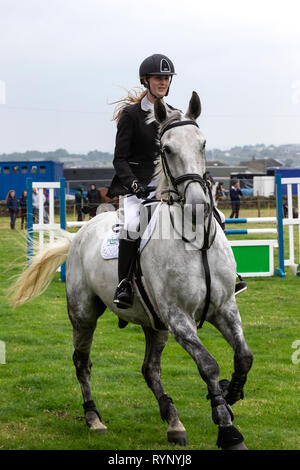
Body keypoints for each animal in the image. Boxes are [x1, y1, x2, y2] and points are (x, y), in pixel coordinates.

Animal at [12, 92, 254, 448]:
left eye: (203, 144)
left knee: (150, 369)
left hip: (155, 325)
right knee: (82, 362)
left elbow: (244, 356)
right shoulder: (179, 318)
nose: (199, 206)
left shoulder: (224, 307)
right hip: (84, 314)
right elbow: (208, 365)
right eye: (166, 149)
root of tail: (79, 235)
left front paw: (230, 393)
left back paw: (173, 421)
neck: (195, 239)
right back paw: (94, 418)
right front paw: (228, 429)